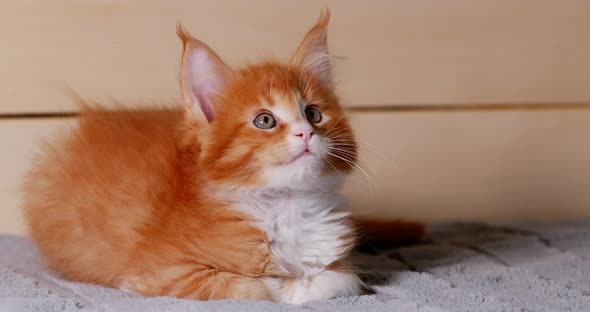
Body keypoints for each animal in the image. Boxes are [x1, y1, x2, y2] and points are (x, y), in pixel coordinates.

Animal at [20, 11, 424, 304]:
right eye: (265, 120)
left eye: (313, 114)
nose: (306, 133)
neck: (285, 206)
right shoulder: (159, 275)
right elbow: (256, 287)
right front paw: (289, 285)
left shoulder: (339, 260)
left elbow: (342, 280)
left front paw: (307, 282)